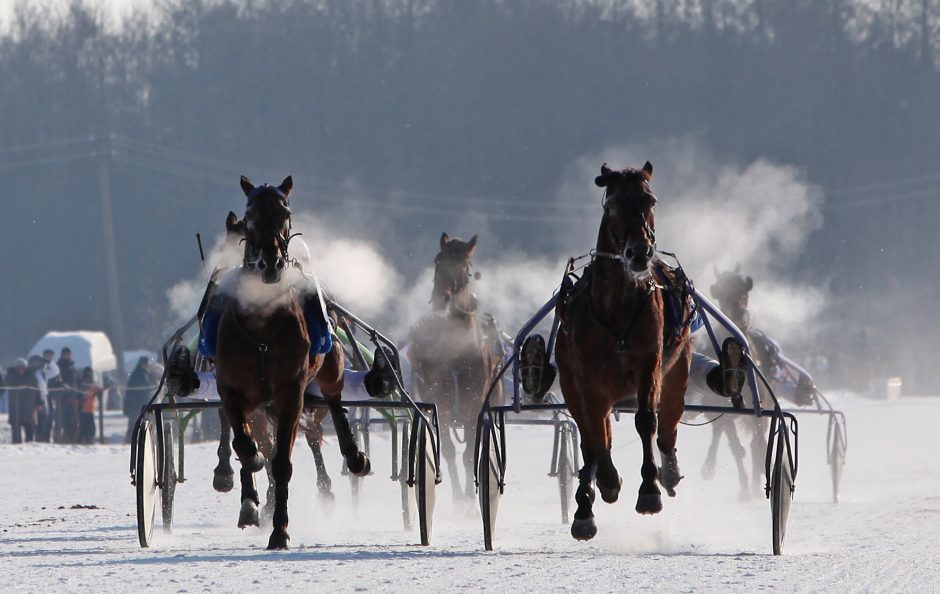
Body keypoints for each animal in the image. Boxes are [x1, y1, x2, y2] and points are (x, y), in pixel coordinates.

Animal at [213, 173, 370, 548]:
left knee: (333, 401)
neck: (262, 327)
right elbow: (245, 444)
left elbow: (282, 461)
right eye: (250, 214)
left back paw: (354, 457)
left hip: (331, 362)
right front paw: (248, 471)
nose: (270, 263)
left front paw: (280, 530)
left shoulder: (291, 391)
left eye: (285, 212)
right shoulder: (231, 388)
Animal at [408, 231, 504, 500]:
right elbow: (449, 452)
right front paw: (459, 499)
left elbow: (469, 453)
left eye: (464, 266)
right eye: (438, 260)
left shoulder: (474, 406)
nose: (442, 298)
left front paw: (471, 498)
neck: (456, 354)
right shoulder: (441, 403)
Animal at [556, 160, 692, 540]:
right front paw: (607, 482)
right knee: (590, 438)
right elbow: (593, 432)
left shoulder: (649, 362)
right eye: (613, 204)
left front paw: (649, 491)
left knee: (668, 423)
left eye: (650, 199)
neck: (616, 305)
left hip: (678, 372)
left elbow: (646, 419)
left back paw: (668, 471)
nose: (640, 252)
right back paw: (585, 505)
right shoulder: (585, 377)